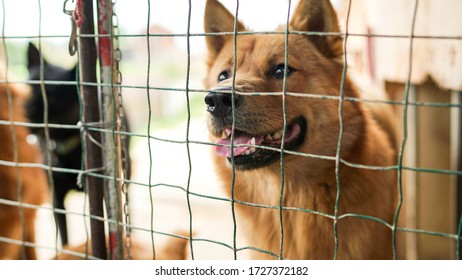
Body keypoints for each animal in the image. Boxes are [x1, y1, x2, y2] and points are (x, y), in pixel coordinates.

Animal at [26, 42, 130, 246]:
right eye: (29, 86)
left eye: (51, 96)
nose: (21, 111)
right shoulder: (56, 199)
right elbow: (64, 239)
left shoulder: (100, 197)